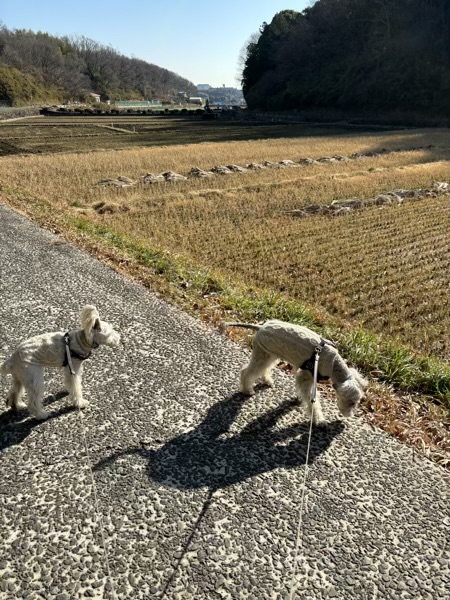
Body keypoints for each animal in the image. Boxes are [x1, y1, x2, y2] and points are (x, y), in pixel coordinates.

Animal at [224, 320, 368, 426]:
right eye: (351, 402)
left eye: (356, 402)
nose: (350, 415)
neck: (334, 365)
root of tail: (261, 326)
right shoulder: (307, 376)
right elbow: (312, 401)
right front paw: (319, 420)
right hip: (263, 354)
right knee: (247, 372)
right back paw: (247, 390)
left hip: (270, 354)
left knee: (264, 369)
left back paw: (267, 381)